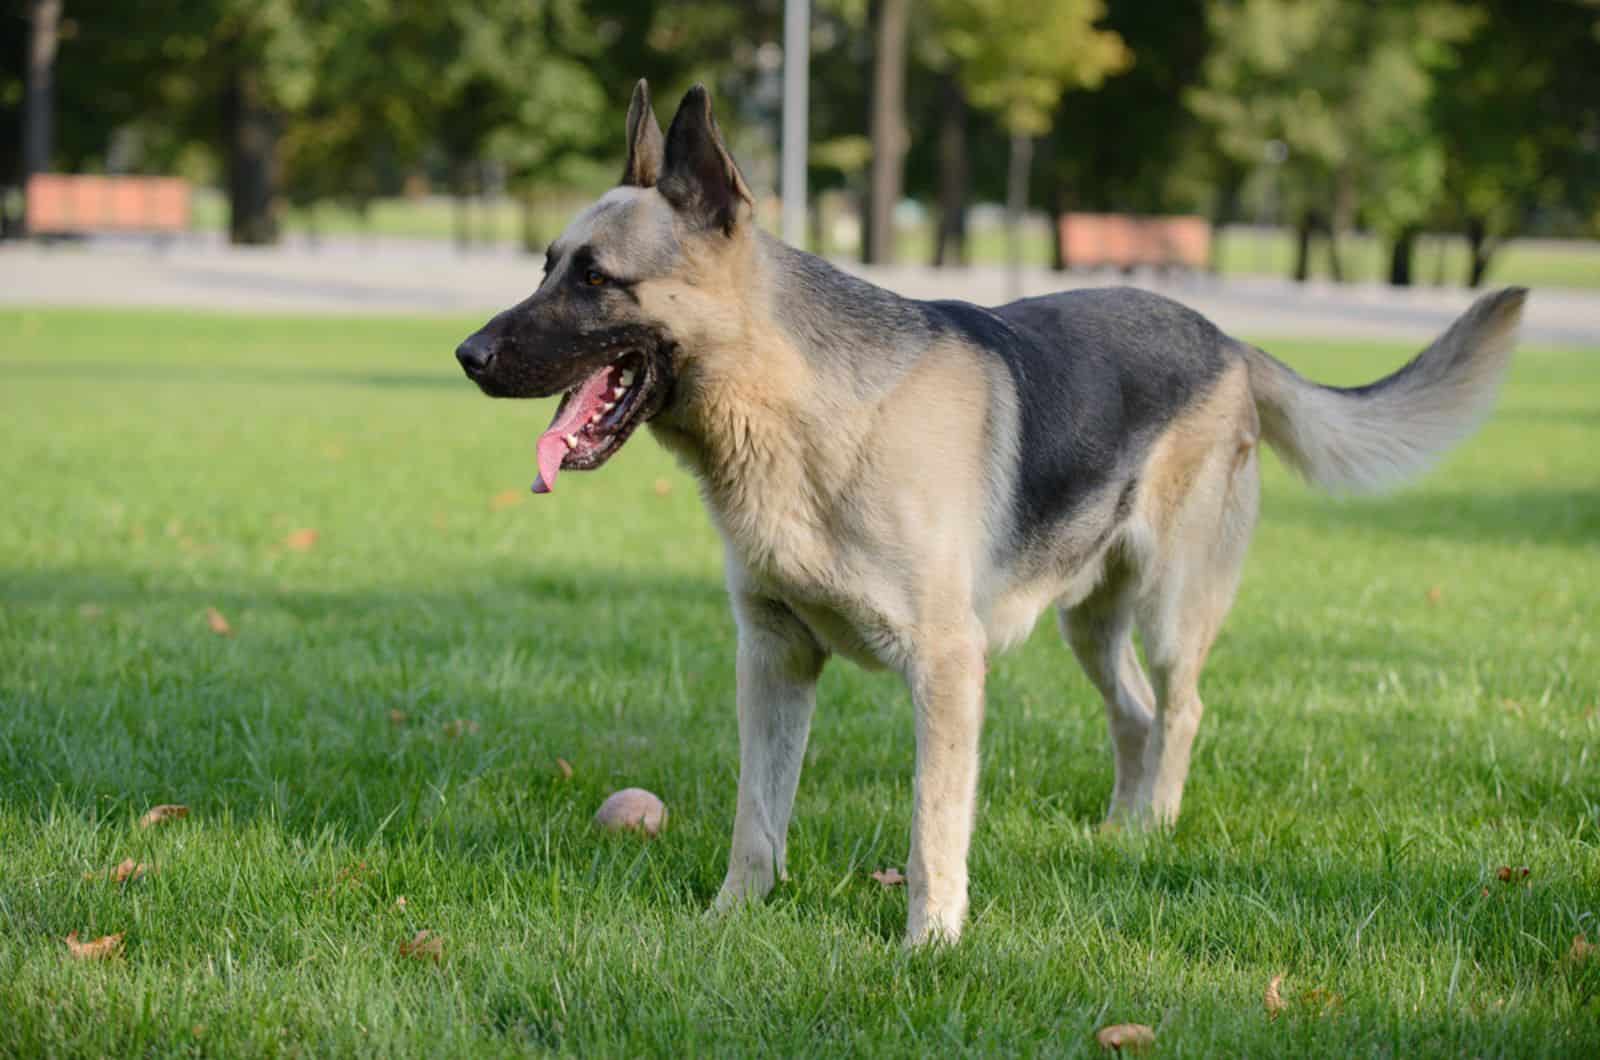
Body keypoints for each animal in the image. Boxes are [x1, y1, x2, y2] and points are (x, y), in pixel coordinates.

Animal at [457, 83, 1529, 947]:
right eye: (546, 264)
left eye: (595, 279)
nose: (468, 356)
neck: (798, 413)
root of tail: (1228, 340)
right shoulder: (774, 661)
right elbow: (756, 818)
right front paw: (730, 920)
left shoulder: (944, 670)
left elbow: (932, 825)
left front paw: (930, 944)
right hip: (1089, 622)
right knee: (1135, 716)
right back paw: (1120, 835)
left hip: (1172, 610)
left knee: (1180, 710)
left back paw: (1157, 831)